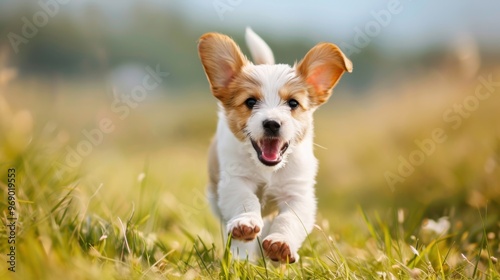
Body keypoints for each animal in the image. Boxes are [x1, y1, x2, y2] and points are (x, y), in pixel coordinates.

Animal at [196, 28, 352, 262]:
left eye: (293, 103)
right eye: (251, 102)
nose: (272, 123)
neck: (268, 170)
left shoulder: (298, 194)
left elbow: (289, 220)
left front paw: (281, 243)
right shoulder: (235, 181)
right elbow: (246, 200)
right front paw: (245, 223)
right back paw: (242, 255)